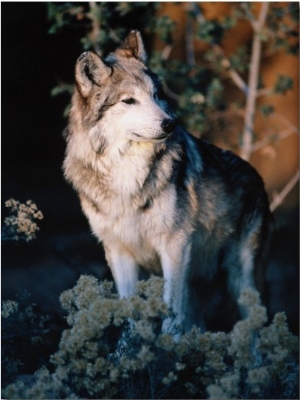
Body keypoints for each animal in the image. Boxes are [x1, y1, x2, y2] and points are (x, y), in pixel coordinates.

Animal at [63, 30, 272, 332]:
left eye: (155, 95)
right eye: (129, 101)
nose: (170, 124)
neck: (125, 174)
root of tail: (259, 178)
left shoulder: (174, 245)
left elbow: (171, 313)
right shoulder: (118, 251)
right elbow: (130, 309)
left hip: (242, 281)